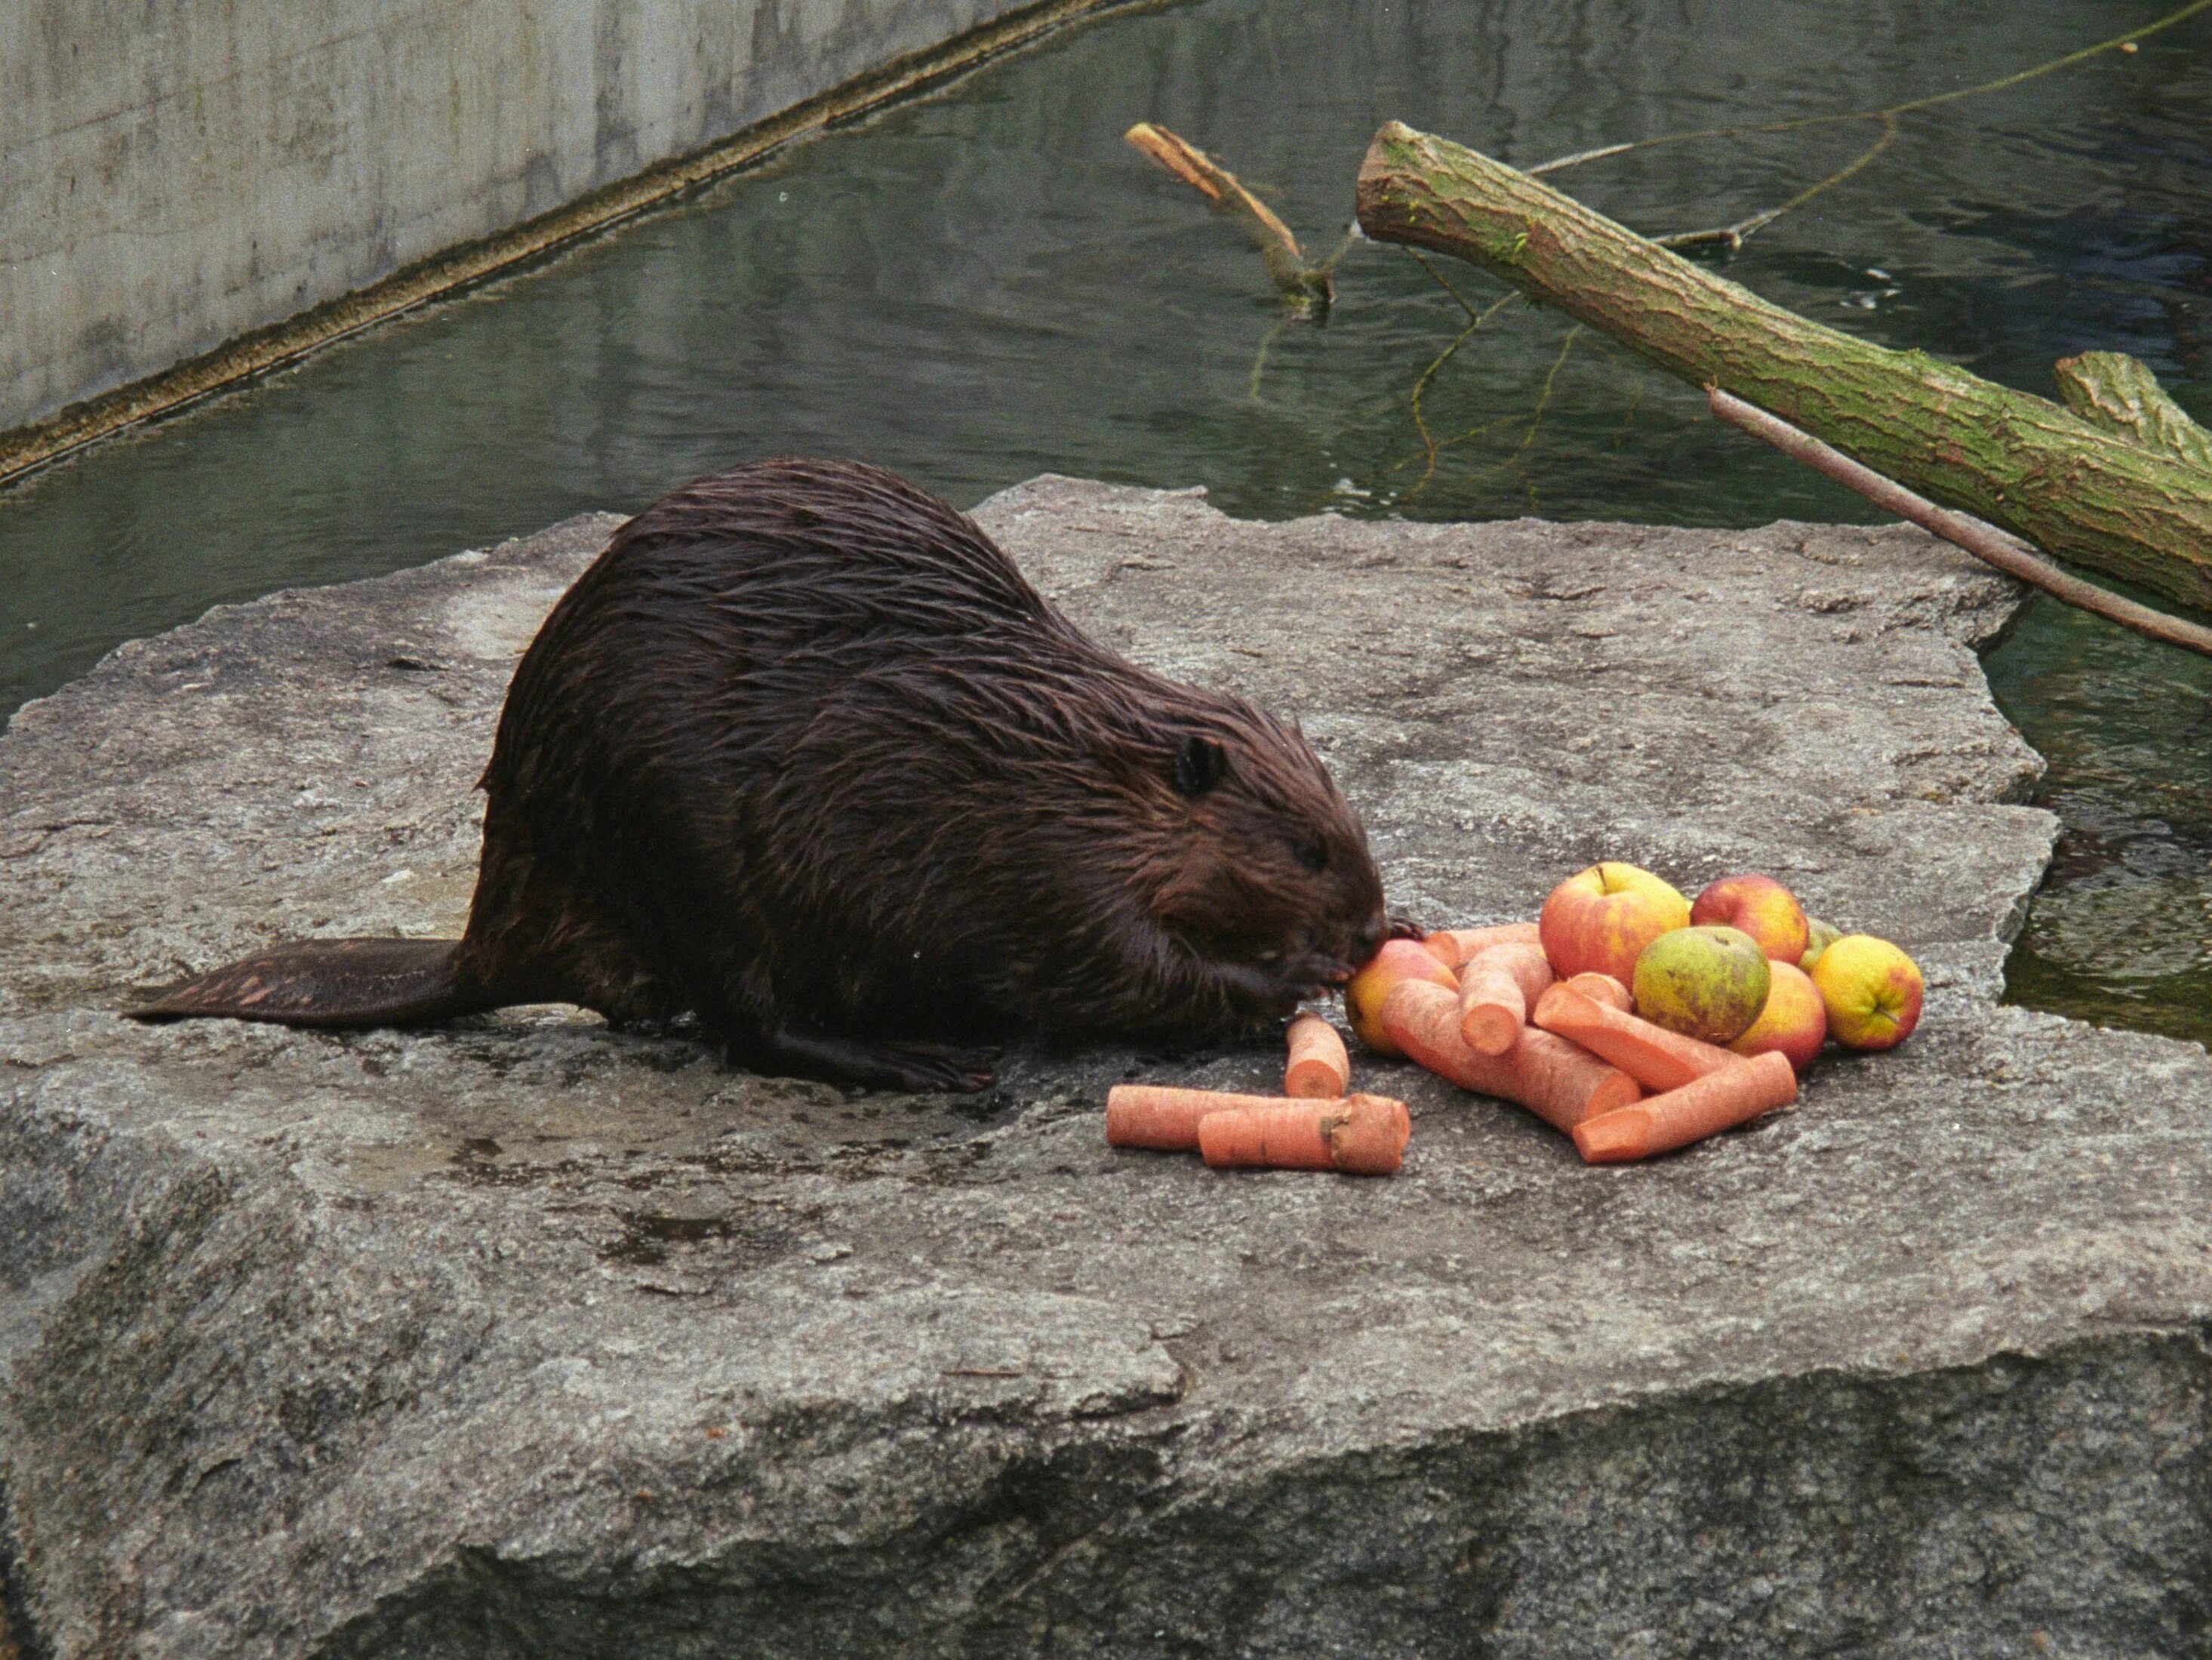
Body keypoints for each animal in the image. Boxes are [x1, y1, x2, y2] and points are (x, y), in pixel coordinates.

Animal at [134, 457, 1380, 1093]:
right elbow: (1115, 968)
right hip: (681, 846)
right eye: (1307, 845)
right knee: (750, 1018)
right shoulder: (1036, 856)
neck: (1061, 745)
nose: (1370, 930)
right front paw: (1295, 978)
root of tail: (483, 941)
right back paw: (923, 1061)